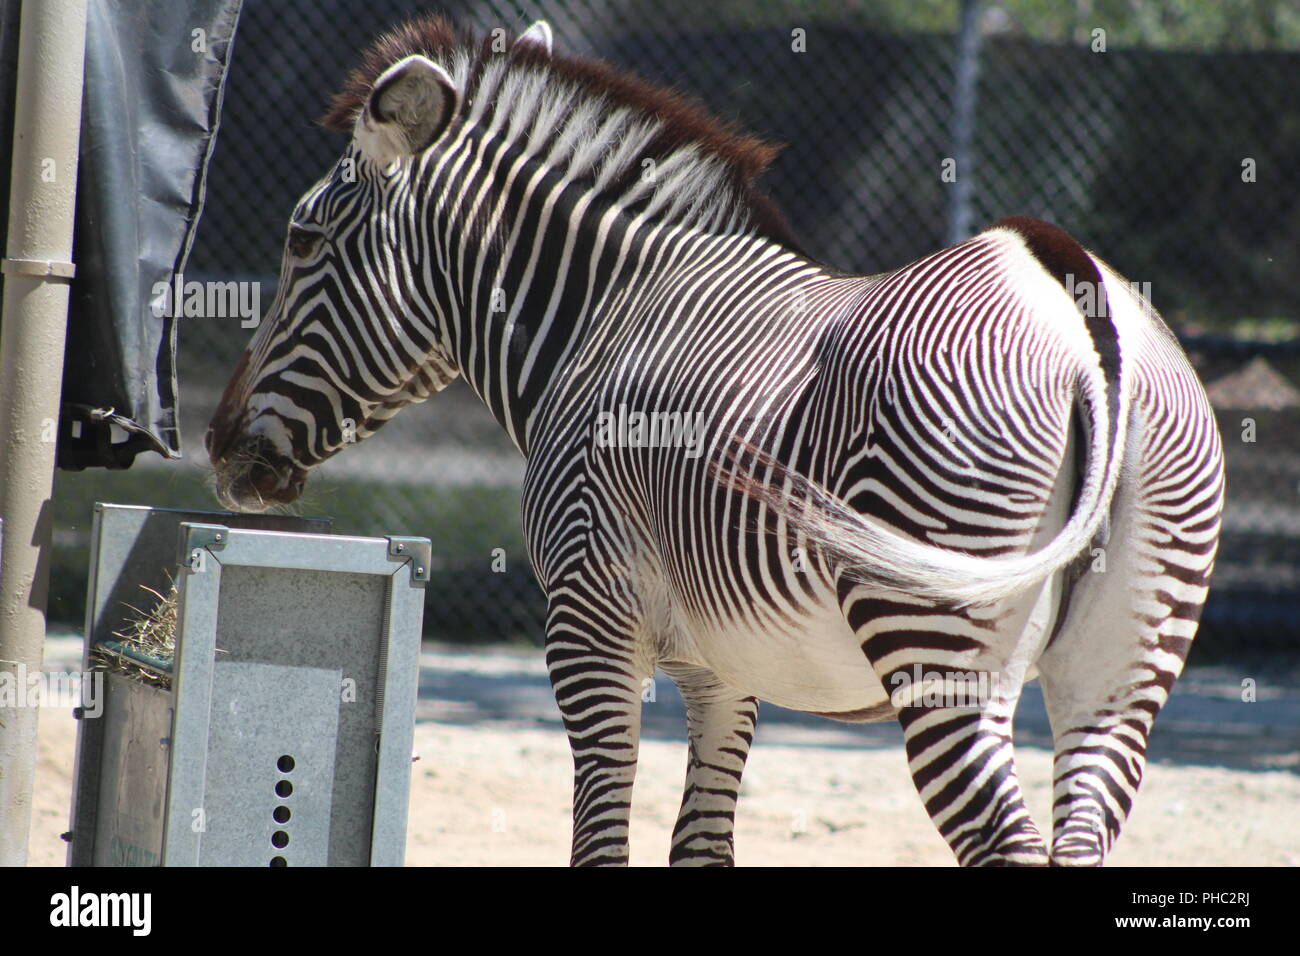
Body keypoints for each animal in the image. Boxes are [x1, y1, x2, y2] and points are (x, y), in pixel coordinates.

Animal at [208, 14, 1222, 868]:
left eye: (301, 240)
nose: (217, 447)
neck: (606, 314)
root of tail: (1069, 289)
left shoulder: (588, 620)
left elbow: (602, 844)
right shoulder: (726, 668)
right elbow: (701, 848)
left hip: (937, 635)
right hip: (1123, 667)